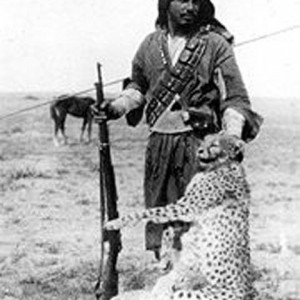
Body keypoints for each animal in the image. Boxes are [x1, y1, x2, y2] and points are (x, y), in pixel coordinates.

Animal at [105, 134, 255, 300]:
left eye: (215, 145)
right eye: (205, 139)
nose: (200, 150)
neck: (221, 165)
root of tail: (249, 291)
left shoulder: (186, 207)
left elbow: (151, 212)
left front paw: (115, 222)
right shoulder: (187, 212)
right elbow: (168, 227)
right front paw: (166, 251)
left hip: (191, 293)